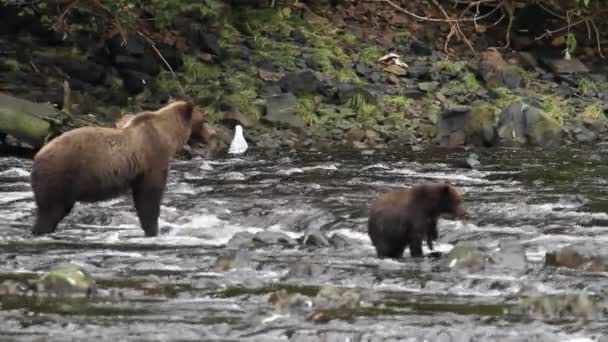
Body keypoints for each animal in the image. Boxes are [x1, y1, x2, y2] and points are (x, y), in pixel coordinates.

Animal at [29, 100, 195, 236]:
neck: (167, 136)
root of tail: (38, 155)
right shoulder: (152, 159)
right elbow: (149, 197)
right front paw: (153, 230)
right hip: (60, 175)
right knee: (51, 210)